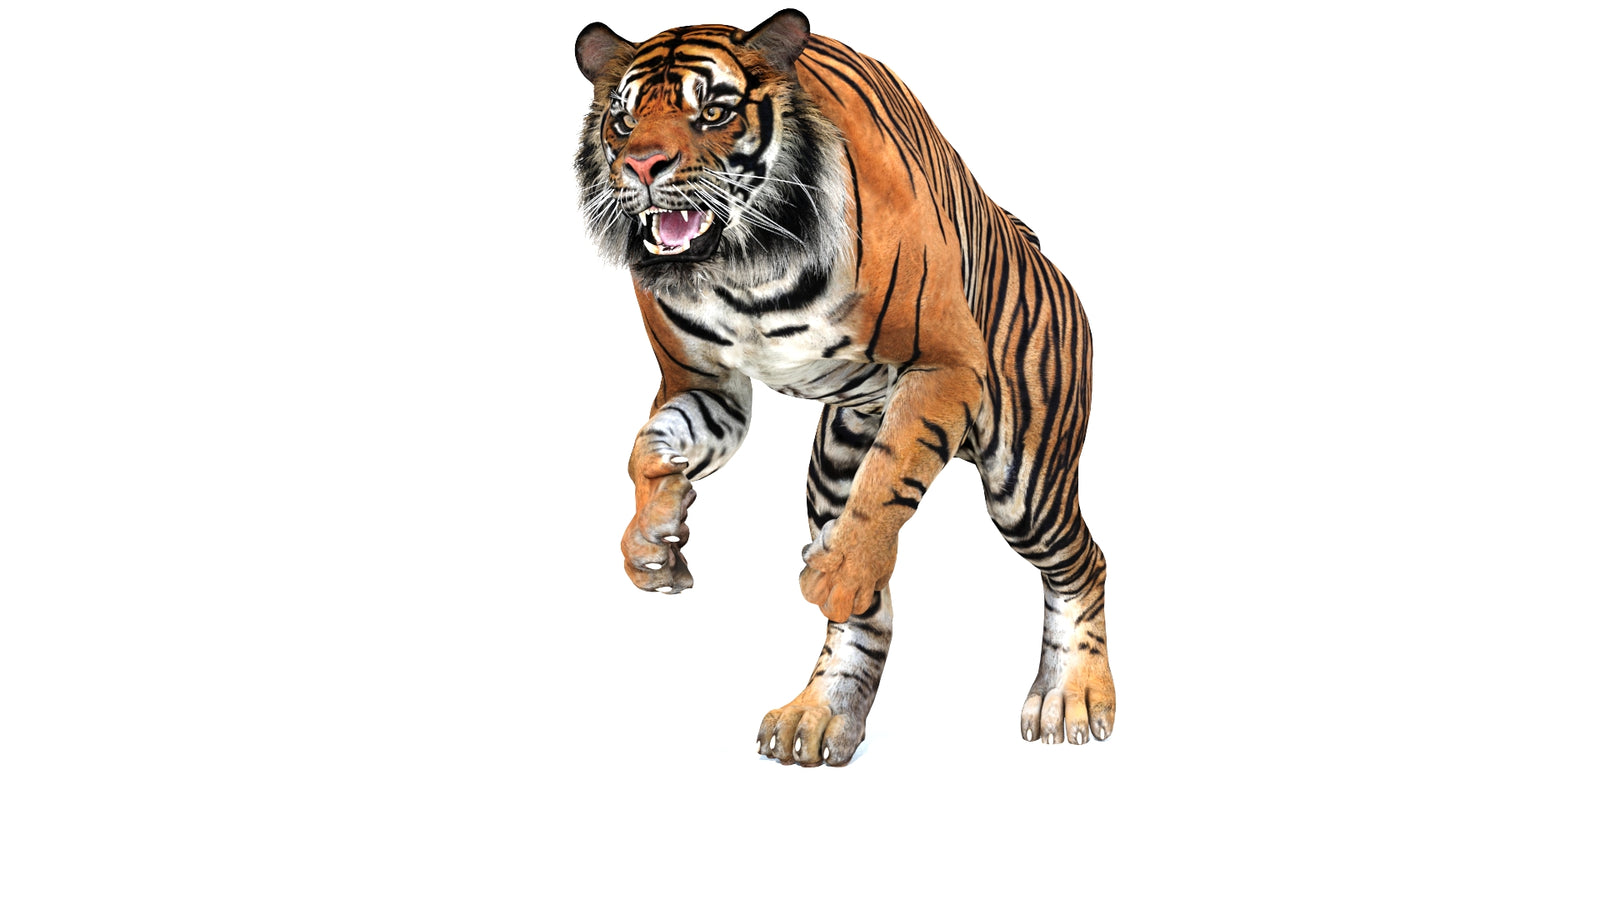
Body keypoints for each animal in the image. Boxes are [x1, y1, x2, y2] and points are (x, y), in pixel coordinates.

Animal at [574, 9, 1116, 766]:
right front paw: (654, 542)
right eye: (624, 120)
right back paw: (819, 715)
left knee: (1082, 561)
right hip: (834, 463)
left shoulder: (944, 365)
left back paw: (1073, 697)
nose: (642, 167)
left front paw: (834, 575)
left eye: (713, 111)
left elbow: (890, 479)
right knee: (867, 612)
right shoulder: (706, 384)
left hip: (1026, 483)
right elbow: (649, 449)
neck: (743, 268)